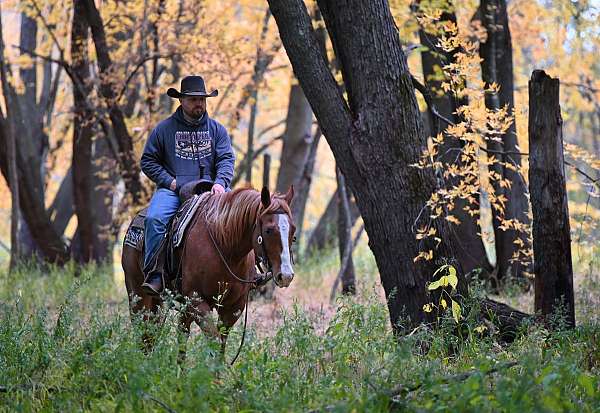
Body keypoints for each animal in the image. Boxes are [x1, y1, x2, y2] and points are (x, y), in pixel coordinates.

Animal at [121, 185, 296, 356]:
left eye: (293, 231)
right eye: (268, 230)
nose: (286, 275)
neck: (226, 248)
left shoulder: (234, 306)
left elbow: (221, 346)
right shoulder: (197, 300)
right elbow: (214, 341)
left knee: (175, 335)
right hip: (138, 295)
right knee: (144, 334)